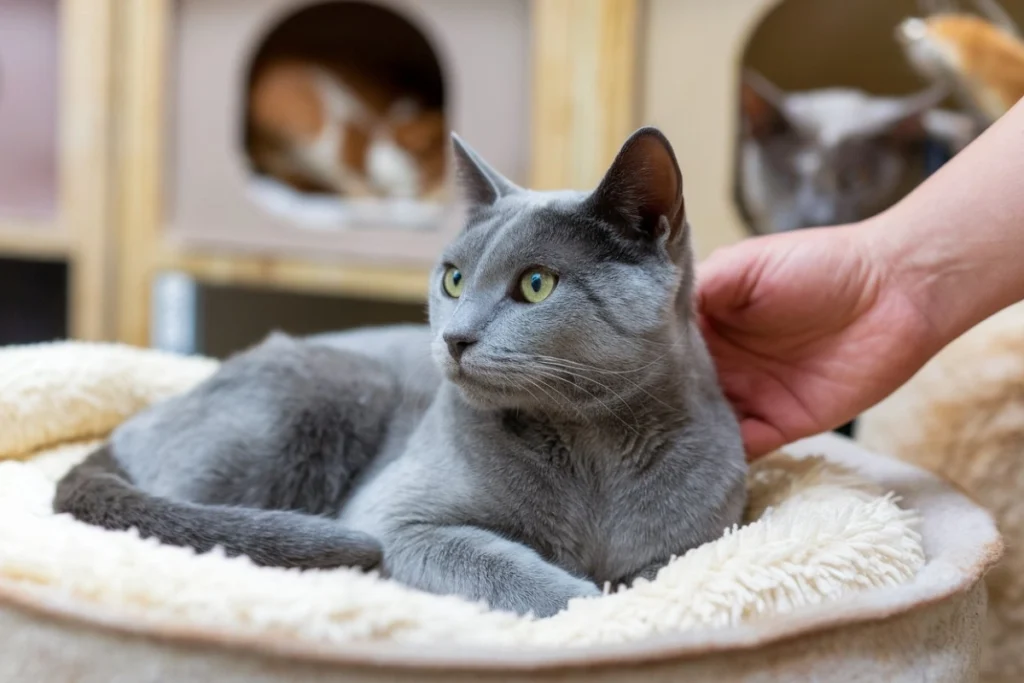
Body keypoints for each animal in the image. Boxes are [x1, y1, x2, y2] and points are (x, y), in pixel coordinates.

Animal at [54, 125, 745, 618]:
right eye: (454, 279)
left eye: (537, 284)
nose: (454, 336)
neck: (593, 448)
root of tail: (128, 430)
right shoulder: (395, 519)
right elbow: (508, 567)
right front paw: (591, 607)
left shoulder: (693, 543)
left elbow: (657, 572)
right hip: (324, 390)